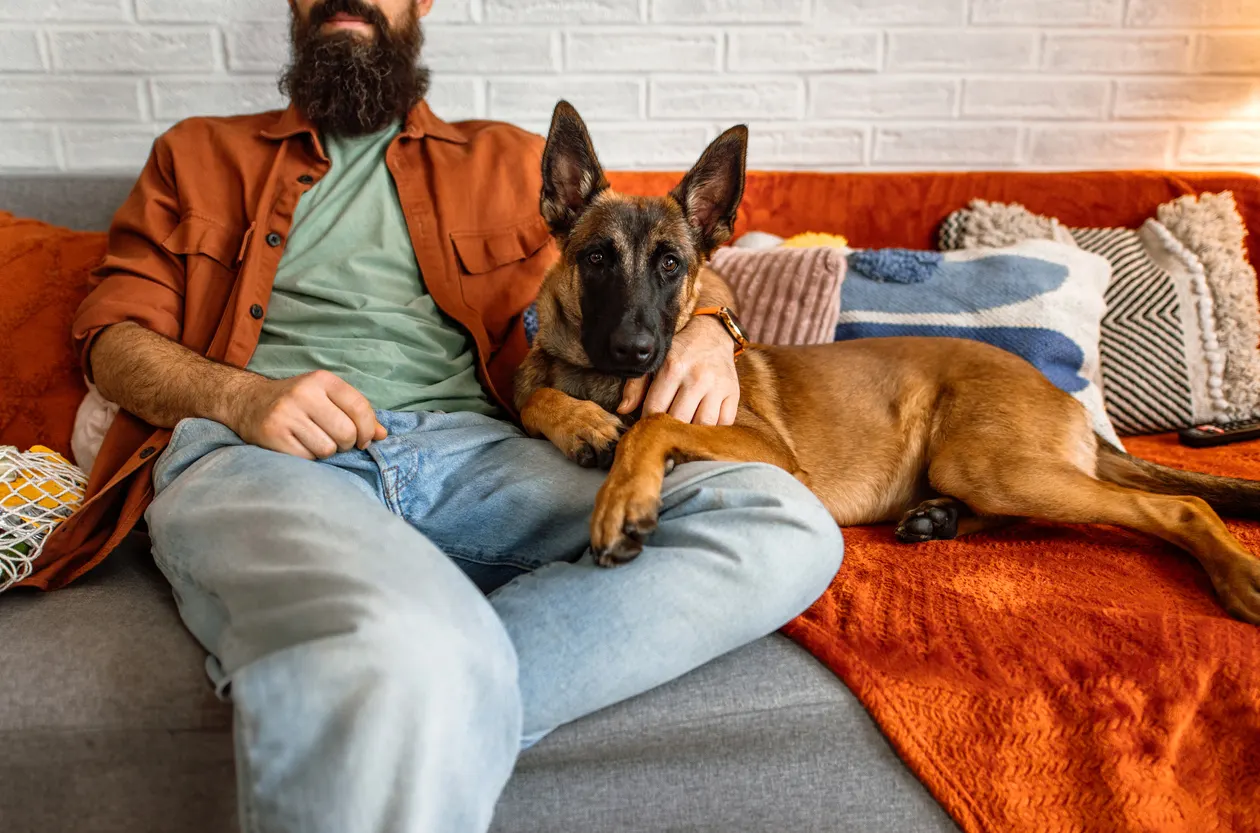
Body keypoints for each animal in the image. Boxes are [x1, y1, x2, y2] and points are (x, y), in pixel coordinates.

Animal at [514, 100, 1260, 620]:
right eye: (597, 259)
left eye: (672, 265)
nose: (637, 350)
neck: (602, 378)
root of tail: (1065, 398)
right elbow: (531, 395)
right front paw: (576, 420)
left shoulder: (766, 447)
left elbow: (653, 423)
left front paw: (623, 497)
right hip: (985, 471)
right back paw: (938, 518)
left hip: (989, 464)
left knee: (1183, 506)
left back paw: (1238, 575)